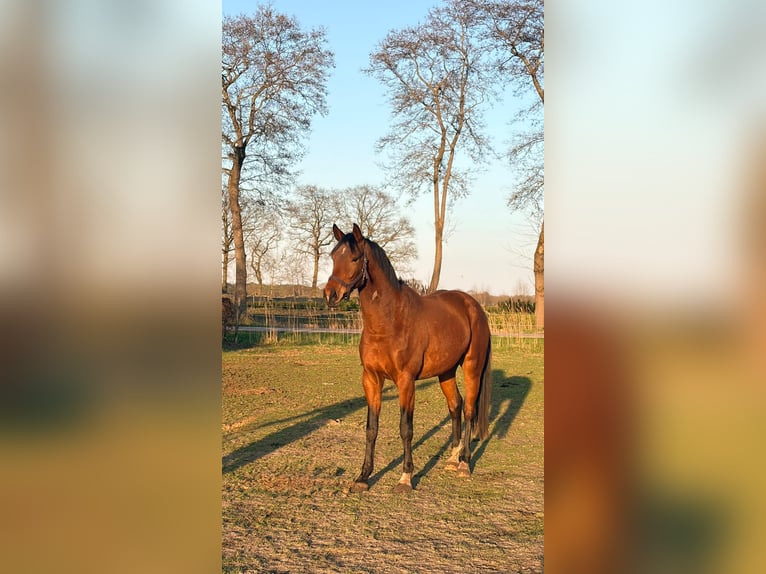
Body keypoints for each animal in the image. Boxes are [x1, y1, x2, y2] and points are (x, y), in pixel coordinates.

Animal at [324, 223, 492, 493]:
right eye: (332, 257)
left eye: (354, 258)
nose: (330, 294)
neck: (390, 321)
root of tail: (472, 305)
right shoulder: (371, 379)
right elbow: (371, 428)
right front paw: (363, 477)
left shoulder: (406, 381)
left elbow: (406, 429)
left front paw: (405, 477)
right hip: (446, 372)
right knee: (455, 406)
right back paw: (452, 459)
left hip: (472, 368)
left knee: (468, 410)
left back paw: (464, 463)